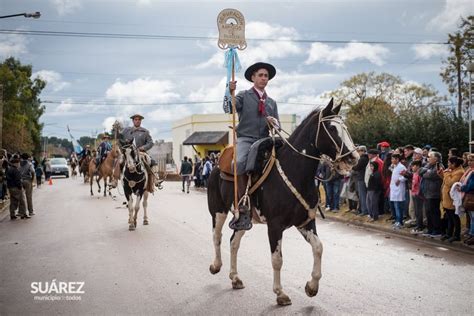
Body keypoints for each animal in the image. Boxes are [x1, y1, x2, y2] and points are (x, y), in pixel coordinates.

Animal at [207, 99, 360, 306]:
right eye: (331, 128)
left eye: (345, 127)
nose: (354, 157)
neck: (295, 172)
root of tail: (217, 164)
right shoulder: (275, 226)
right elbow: (277, 259)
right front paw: (280, 293)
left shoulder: (305, 222)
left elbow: (318, 248)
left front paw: (312, 287)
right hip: (218, 211)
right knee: (217, 236)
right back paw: (216, 265)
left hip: (242, 221)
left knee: (233, 242)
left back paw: (235, 277)